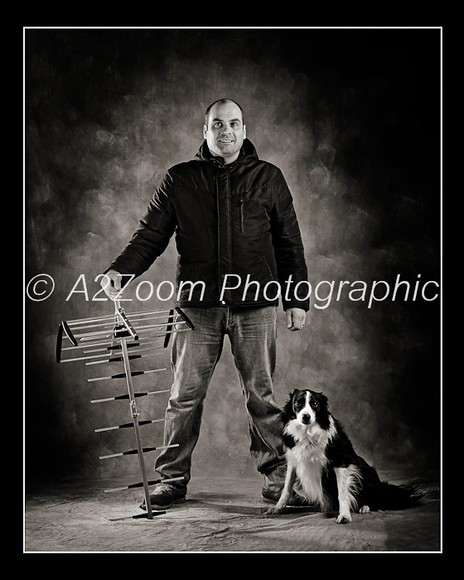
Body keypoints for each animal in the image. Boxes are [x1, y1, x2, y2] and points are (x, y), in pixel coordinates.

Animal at [264, 390, 420, 520]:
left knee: (375, 499)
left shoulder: (341, 462)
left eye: (315, 404)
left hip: (366, 472)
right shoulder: (294, 461)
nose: (306, 417)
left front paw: (344, 515)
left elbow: (343, 494)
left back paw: (364, 507)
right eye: (298, 403)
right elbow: (286, 489)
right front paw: (277, 508)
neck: (308, 433)